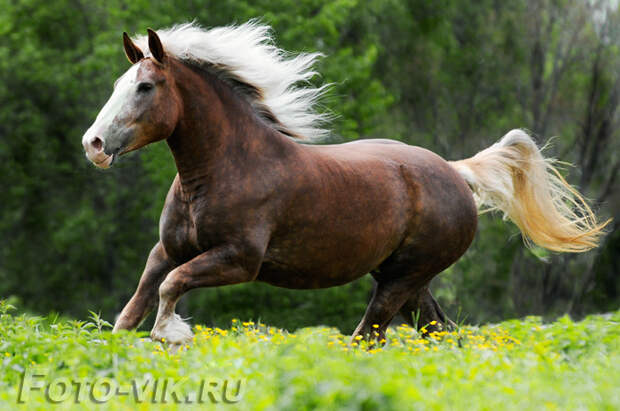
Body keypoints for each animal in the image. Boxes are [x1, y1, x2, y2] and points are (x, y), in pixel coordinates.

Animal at [80, 21, 608, 344]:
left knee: (368, 340)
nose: (95, 144)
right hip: (406, 281)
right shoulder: (169, 249)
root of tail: (455, 171)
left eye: (145, 87)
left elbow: (170, 289)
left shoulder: (238, 260)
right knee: (443, 335)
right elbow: (135, 306)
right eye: (117, 85)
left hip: (400, 281)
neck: (219, 170)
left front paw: (172, 335)